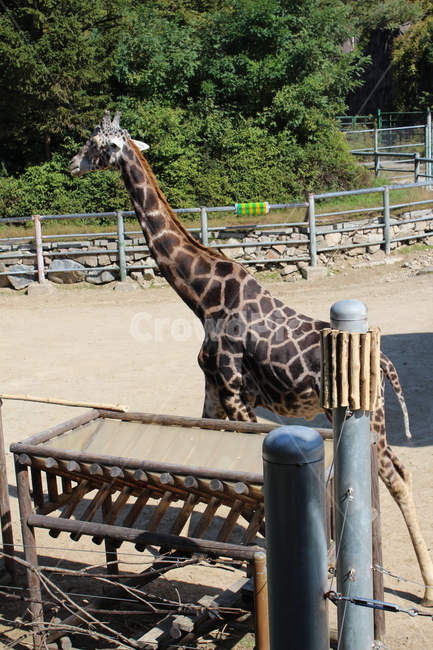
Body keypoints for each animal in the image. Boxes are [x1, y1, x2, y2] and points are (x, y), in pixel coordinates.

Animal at [70, 110, 433, 605]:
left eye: (94, 143)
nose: (72, 164)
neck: (202, 296)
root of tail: (385, 365)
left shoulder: (236, 394)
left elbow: (242, 478)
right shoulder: (213, 388)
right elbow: (197, 463)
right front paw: (173, 552)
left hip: (366, 417)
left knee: (394, 475)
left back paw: (425, 590)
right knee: (398, 470)